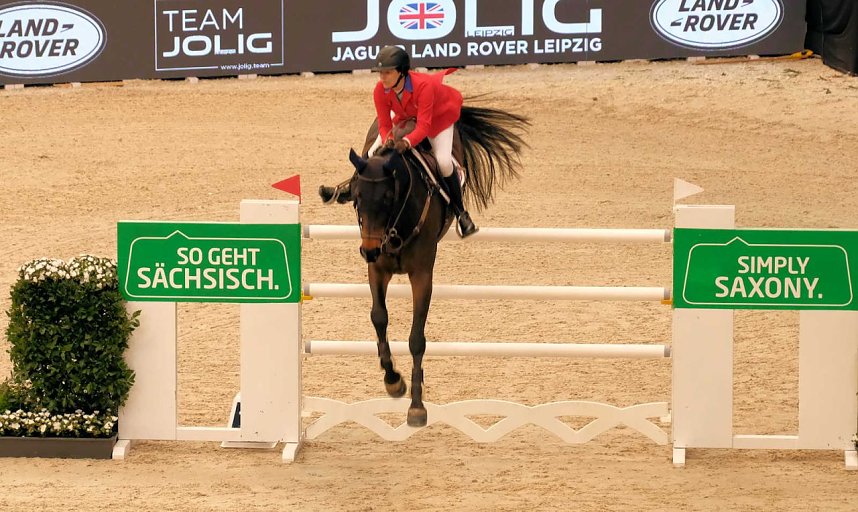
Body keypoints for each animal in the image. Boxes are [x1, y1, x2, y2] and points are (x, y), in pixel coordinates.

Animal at [346, 106, 529, 426]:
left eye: (388, 198)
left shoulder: (422, 275)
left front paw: (416, 406)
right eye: (357, 198)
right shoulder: (377, 270)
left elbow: (416, 339)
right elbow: (379, 317)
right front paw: (392, 380)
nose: (368, 250)